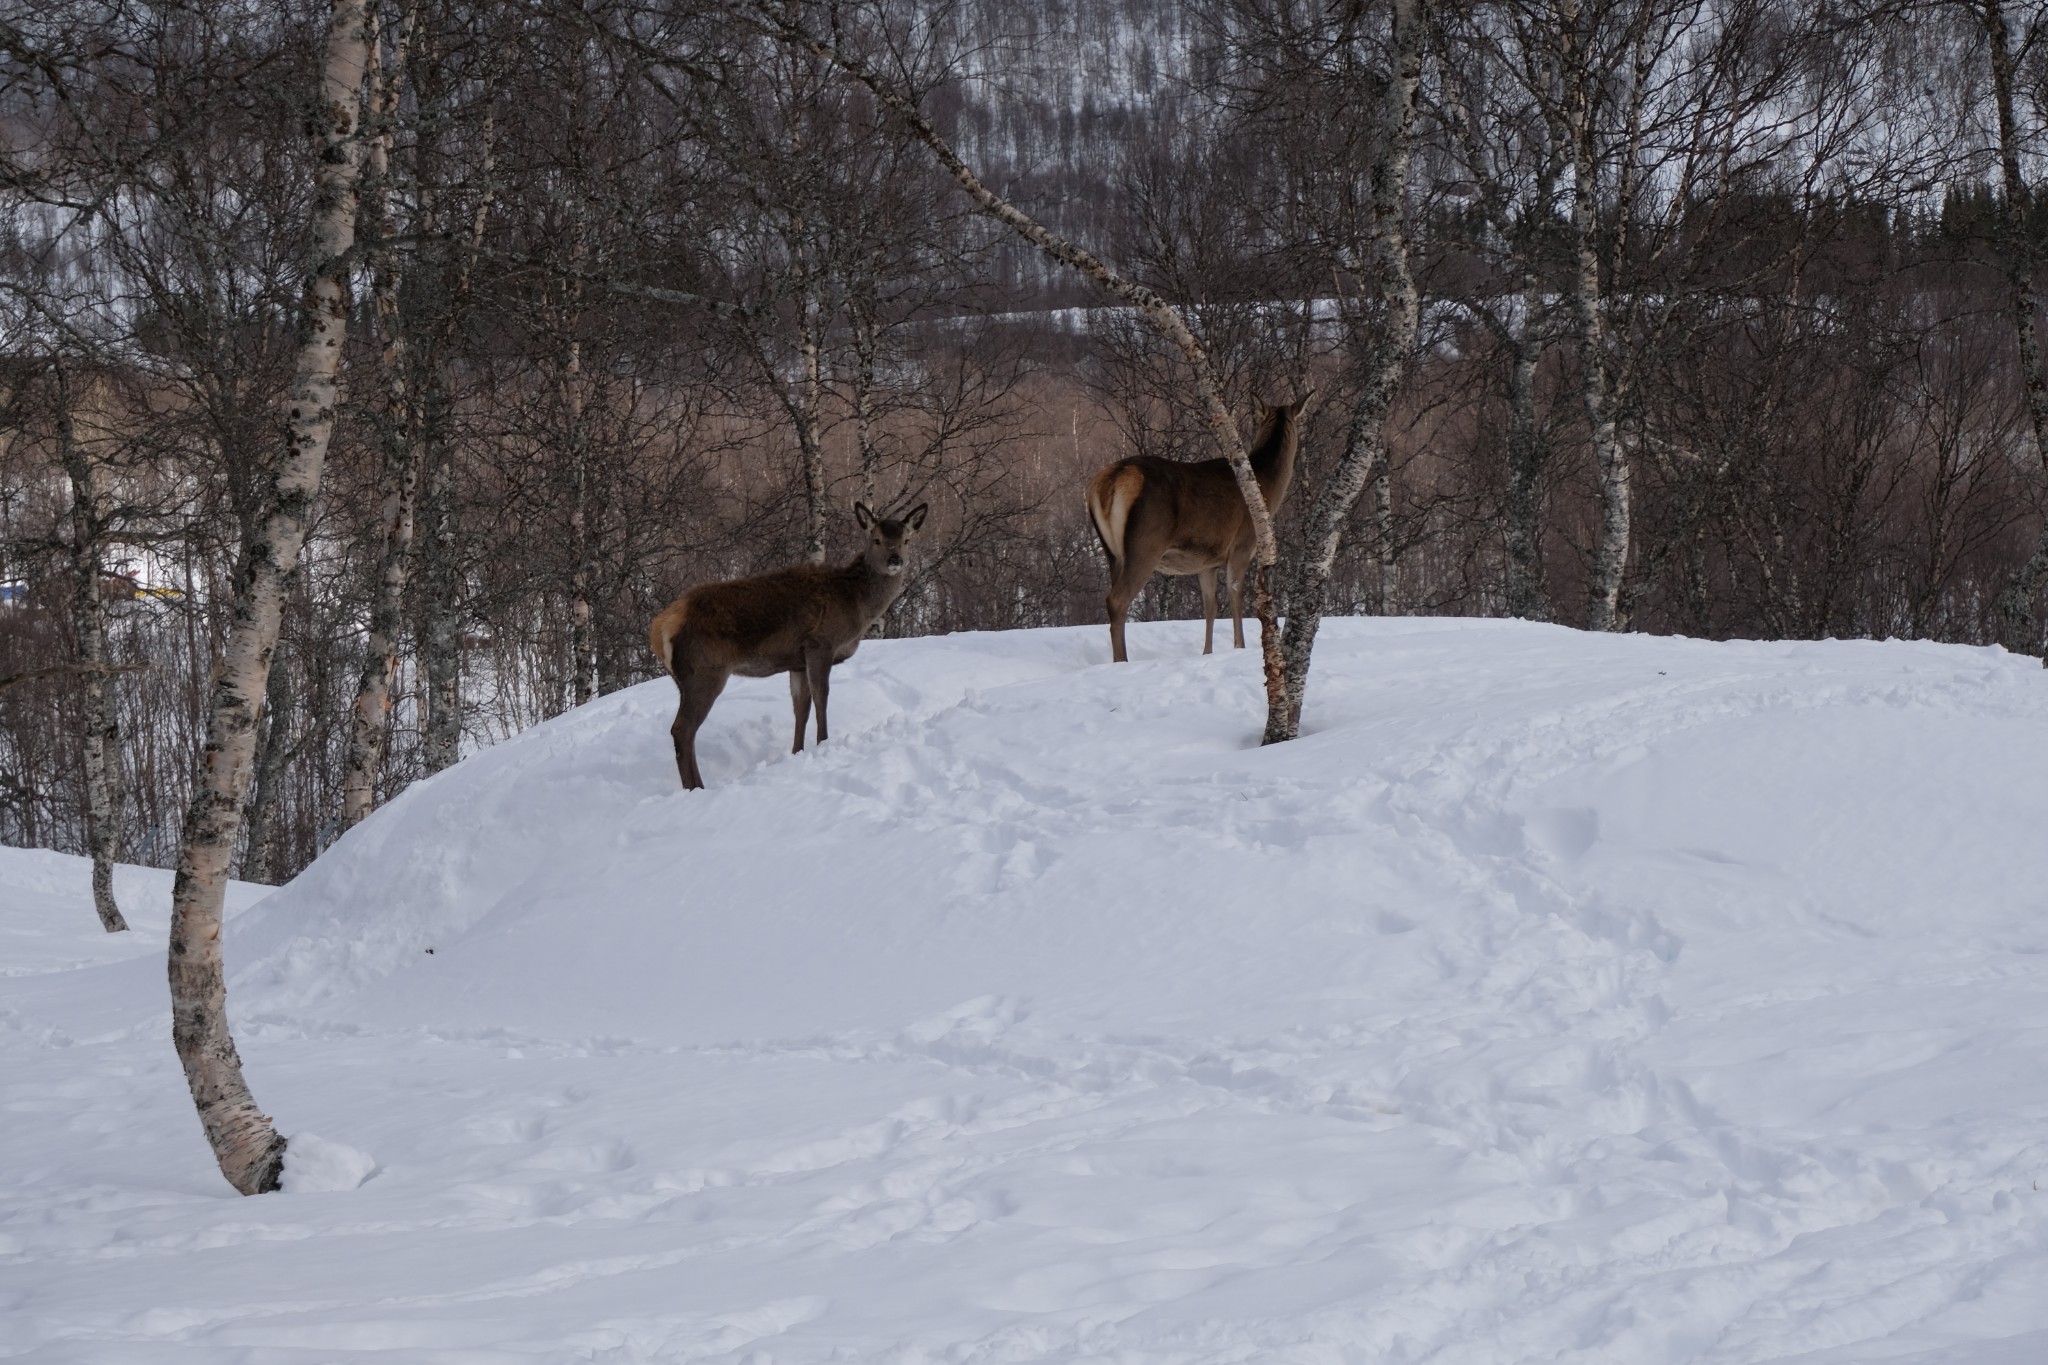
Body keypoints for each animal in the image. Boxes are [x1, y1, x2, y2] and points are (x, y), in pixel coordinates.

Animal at [647, 501, 929, 789]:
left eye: (906, 540)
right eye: (877, 539)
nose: (895, 560)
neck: (856, 606)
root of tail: (660, 627)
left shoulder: (797, 661)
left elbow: (800, 707)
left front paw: (797, 752)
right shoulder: (820, 643)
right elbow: (822, 697)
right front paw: (823, 743)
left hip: (685, 679)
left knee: (687, 731)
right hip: (705, 670)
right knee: (682, 729)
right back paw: (695, 788)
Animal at [1081, 388, 1318, 663]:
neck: (1265, 488)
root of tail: (1109, 481)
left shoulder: (1207, 563)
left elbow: (1210, 606)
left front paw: (1207, 652)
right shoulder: (1242, 545)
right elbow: (1235, 596)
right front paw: (1239, 647)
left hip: (1111, 552)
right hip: (1145, 543)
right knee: (1117, 600)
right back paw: (1122, 662)